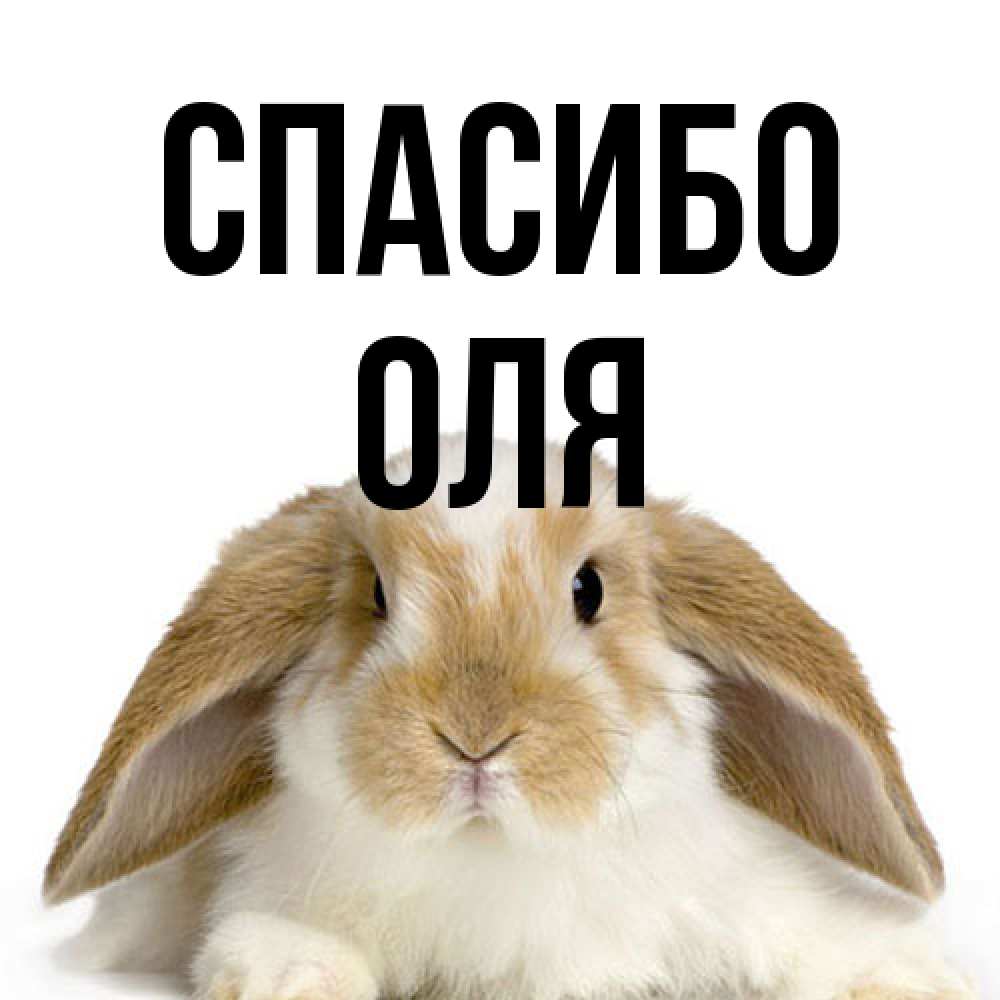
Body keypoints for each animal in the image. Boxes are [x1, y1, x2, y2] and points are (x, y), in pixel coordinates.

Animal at [45, 437, 975, 1000]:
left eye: (589, 589)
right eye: (375, 596)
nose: (475, 737)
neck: (495, 857)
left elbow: (817, 939)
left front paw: (908, 978)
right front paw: (290, 977)